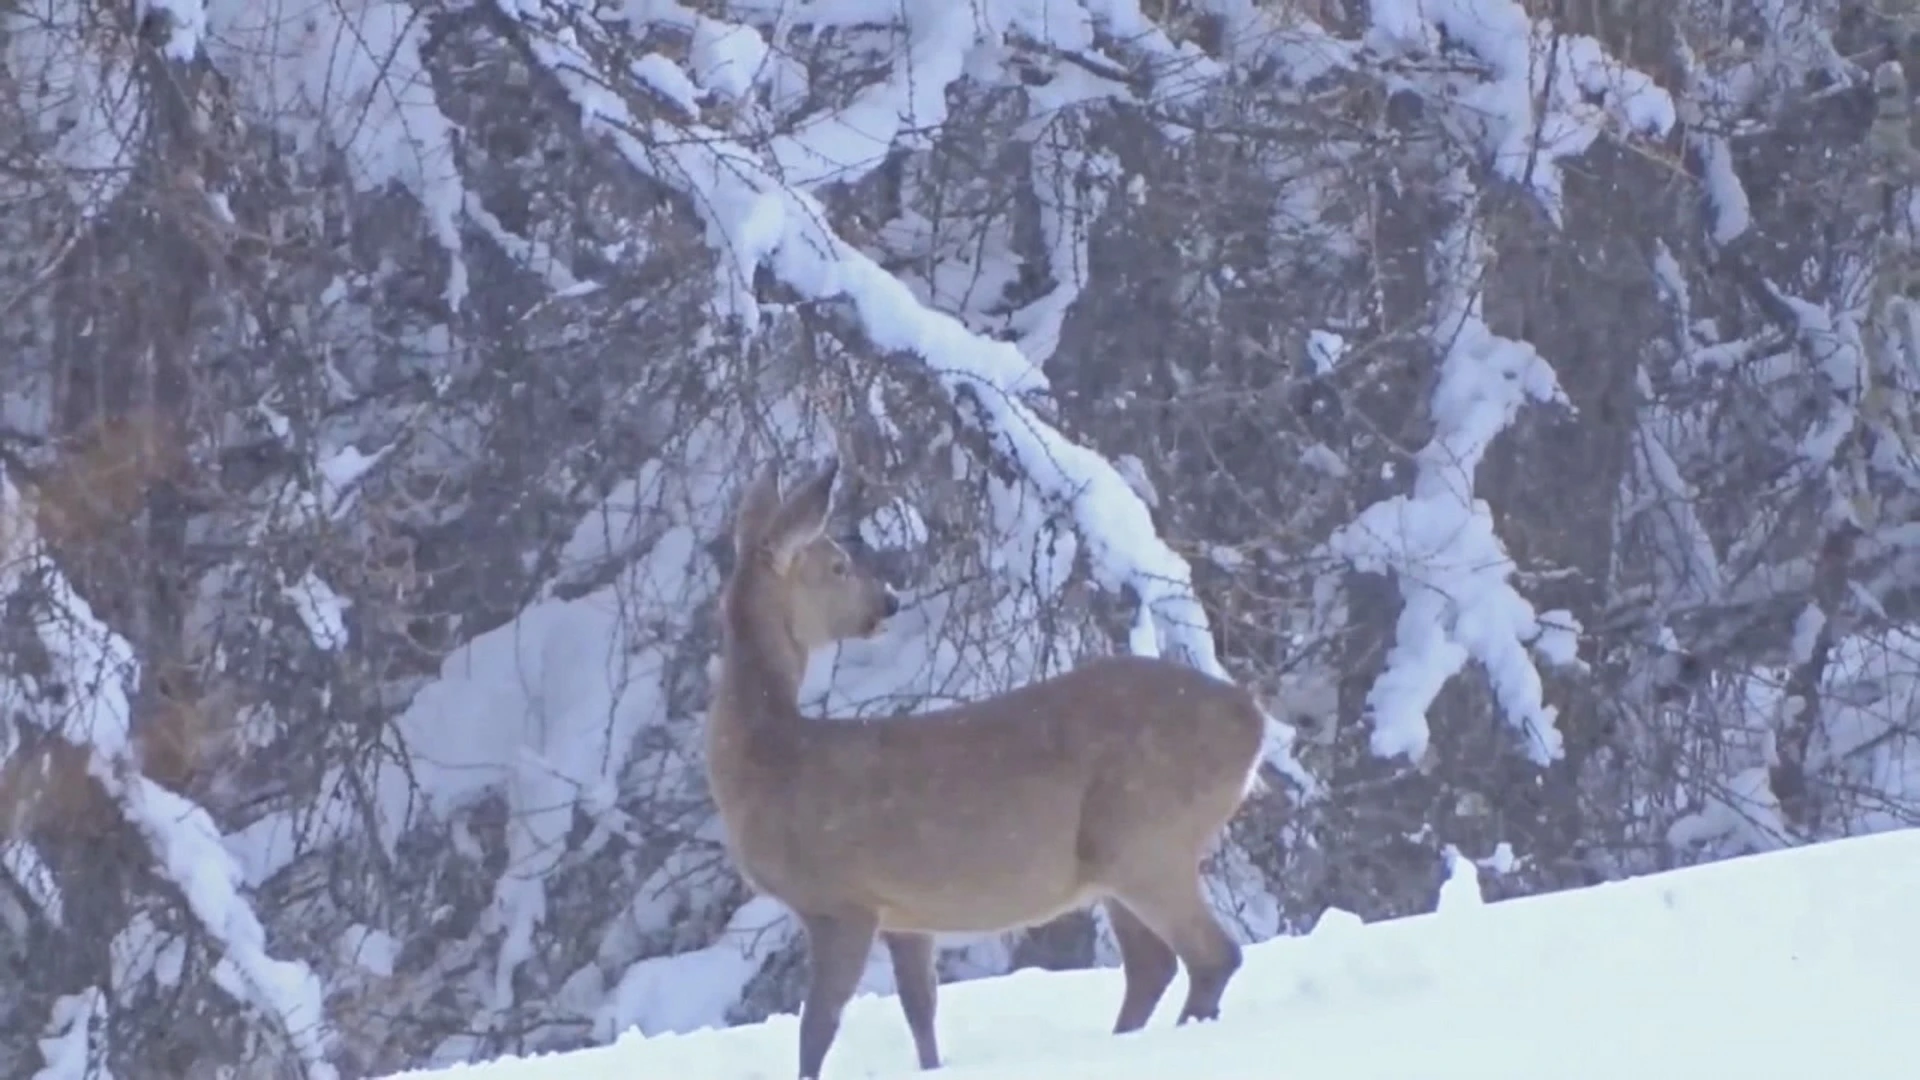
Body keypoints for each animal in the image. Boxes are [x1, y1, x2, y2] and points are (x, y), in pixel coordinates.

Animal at [714, 455, 1267, 1076]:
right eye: (838, 565)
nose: (889, 601)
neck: (771, 759)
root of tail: (1252, 717)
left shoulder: (840, 900)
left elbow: (818, 1028)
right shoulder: (904, 915)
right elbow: (921, 1011)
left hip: (1145, 835)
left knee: (1212, 956)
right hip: (1123, 860)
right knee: (1154, 965)